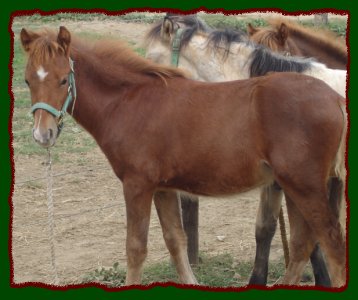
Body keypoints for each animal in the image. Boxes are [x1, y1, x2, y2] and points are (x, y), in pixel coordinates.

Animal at [20, 27, 346, 288]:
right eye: (26, 81)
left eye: (64, 80)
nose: (43, 135)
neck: (128, 102)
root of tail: (336, 99)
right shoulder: (162, 188)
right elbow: (176, 240)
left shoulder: (136, 185)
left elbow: (135, 248)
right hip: (294, 186)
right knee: (303, 244)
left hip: (305, 186)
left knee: (331, 243)